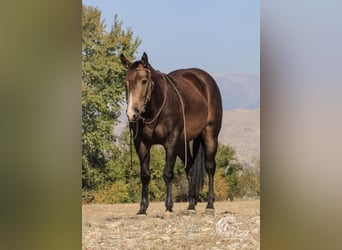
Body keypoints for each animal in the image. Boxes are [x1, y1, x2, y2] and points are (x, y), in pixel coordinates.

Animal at [121, 52, 223, 215]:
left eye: (144, 81)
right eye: (126, 83)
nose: (132, 114)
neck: (155, 109)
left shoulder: (171, 142)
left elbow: (168, 173)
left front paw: (169, 207)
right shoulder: (141, 144)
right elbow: (145, 175)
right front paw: (142, 209)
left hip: (210, 135)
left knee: (210, 167)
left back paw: (210, 205)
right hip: (182, 143)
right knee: (190, 169)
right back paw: (191, 206)